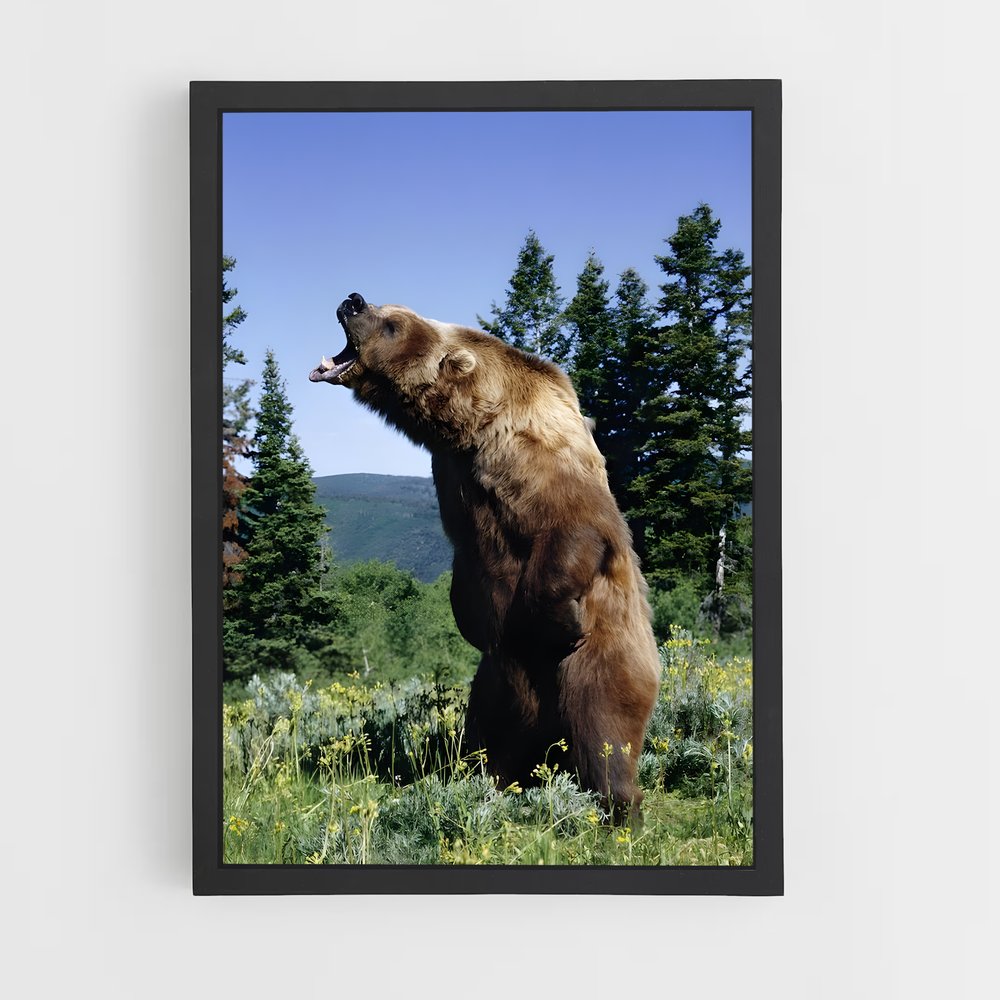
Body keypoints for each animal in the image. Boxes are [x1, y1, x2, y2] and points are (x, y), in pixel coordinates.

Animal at [309, 292, 661, 821]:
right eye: (385, 309)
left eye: (392, 324)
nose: (353, 301)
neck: (473, 427)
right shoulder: (456, 481)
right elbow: (468, 574)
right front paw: (470, 619)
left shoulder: (542, 463)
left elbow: (574, 531)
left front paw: (563, 619)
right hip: (495, 685)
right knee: (488, 739)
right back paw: (486, 783)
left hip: (605, 659)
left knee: (603, 730)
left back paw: (620, 808)